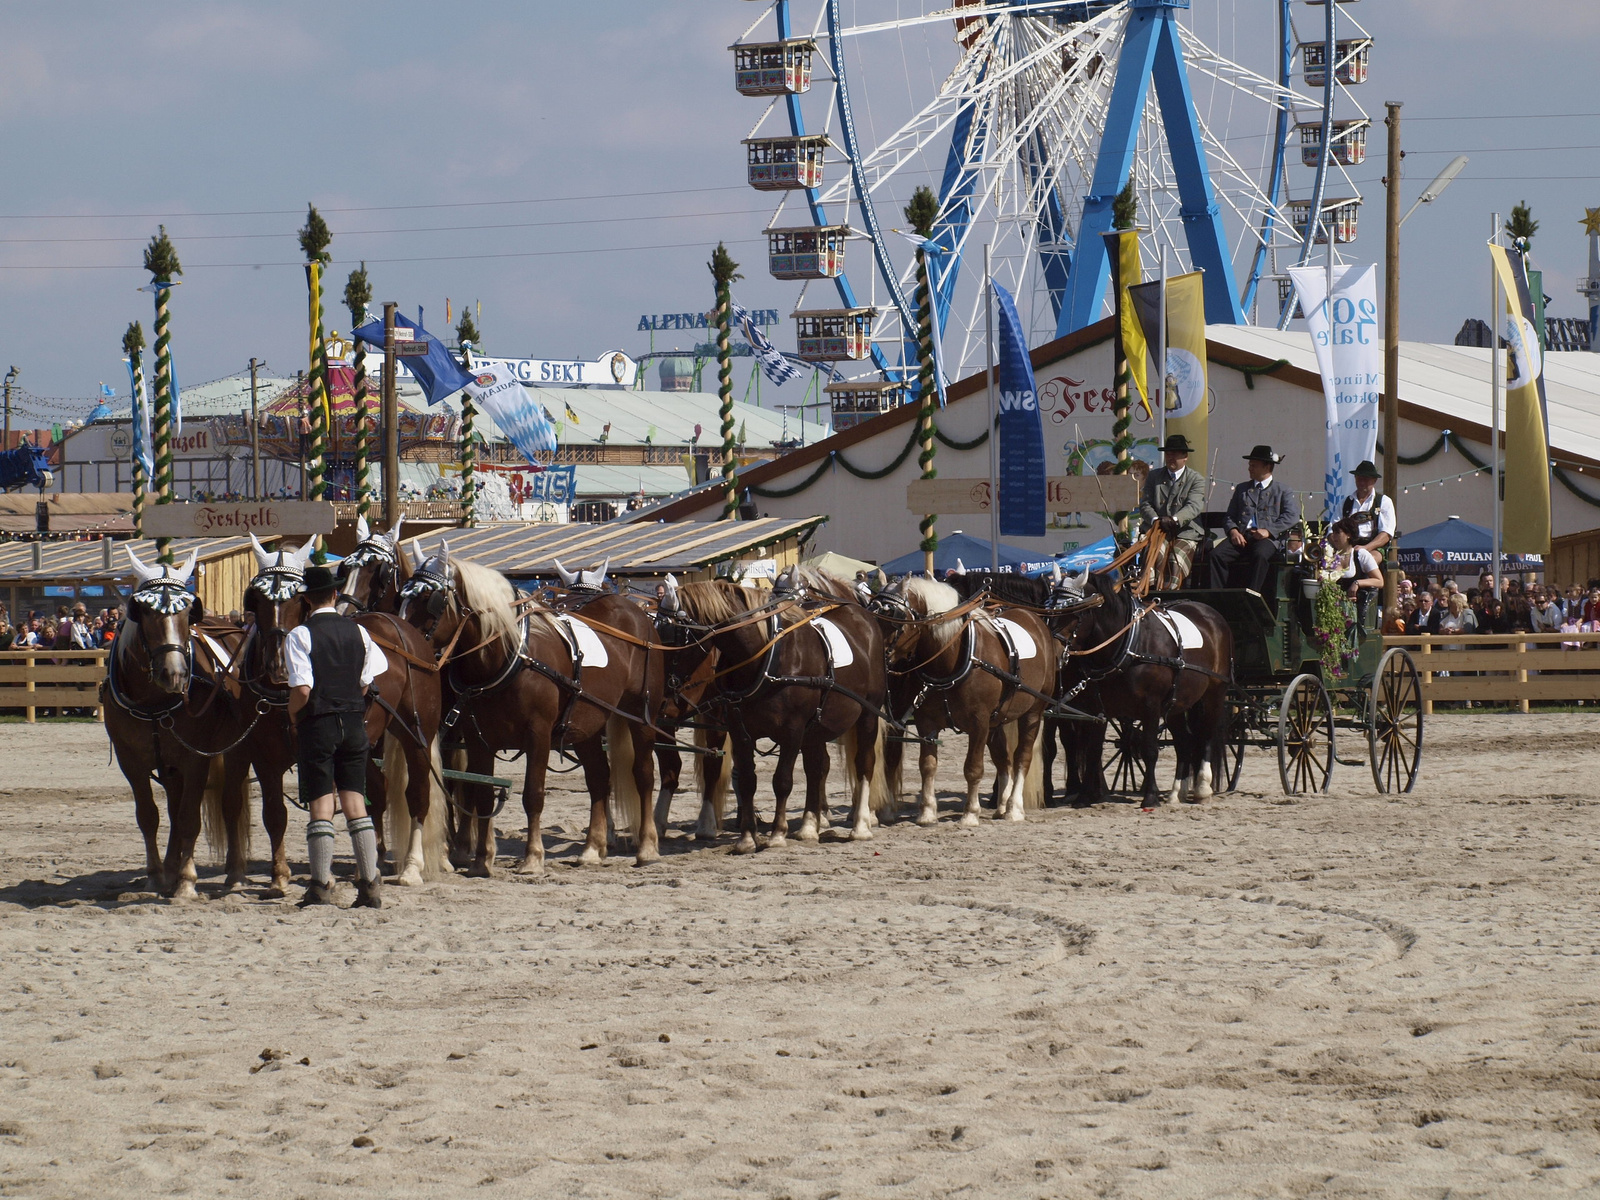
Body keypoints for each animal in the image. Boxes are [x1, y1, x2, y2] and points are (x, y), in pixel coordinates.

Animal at [101, 550, 254, 896]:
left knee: (230, 803)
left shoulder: (196, 758)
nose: (175, 674)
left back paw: (235, 872)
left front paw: (186, 881)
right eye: (144, 611)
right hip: (169, 766)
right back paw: (170, 868)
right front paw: (157, 875)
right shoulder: (131, 761)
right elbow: (149, 816)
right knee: (172, 805)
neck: (153, 703)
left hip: (235, 750)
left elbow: (188, 818)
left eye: (187, 611)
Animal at [400, 544, 662, 876]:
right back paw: (592, 848)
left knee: (644, 774)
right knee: (599, 778)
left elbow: (533, 795)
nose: (403, 644)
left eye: (430, 598)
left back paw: (647, 847)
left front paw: (533, 857)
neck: (507, 656)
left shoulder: (538, 734)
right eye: (402, 594)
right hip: (587, 724)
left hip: (641, 715)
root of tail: (635, 610)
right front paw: (481, 860)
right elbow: (481, 794)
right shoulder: (477, 738)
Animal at [656, 569, 896, 851]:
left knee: (864, 763)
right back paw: (808, 827)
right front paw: (747, 837)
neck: (765, 658)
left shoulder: (792, 730)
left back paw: (860, 825)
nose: (661, 699)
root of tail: (863, 615)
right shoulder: (740, 731)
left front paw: (778, 833)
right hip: (817, 727)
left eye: (675, 636)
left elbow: (782, 780)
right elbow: (747, 781)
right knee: (816, 768)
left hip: (867, 715)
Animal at [870, 576, 1056, 825]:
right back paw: (1002, 805)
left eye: (894, 618)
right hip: (997, 720)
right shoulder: (927, 722)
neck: (951, 660)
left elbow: (973, 768)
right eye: (872, 612)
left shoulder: (979, 723)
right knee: (1003, 759)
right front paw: (927, 812)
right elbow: (927, 765)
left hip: (1032, 713)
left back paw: (1014, 808)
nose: (875, 657)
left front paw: (970, 813)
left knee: (1021, 758)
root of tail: (1034, 620)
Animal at [1062, 569, 1235, 812]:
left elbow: (1149, 750)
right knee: (1185, 742)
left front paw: (1150, 796)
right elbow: (1093, 751)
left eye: (1073, 612)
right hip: (1177, 703)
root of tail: (1210, 613)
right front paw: (1084, 797)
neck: (1128, 645)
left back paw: (1202, 789)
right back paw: (1176, 792)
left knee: (1207, 736)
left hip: (1214, 694)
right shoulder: (1098, 709)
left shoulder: (1151, 706)